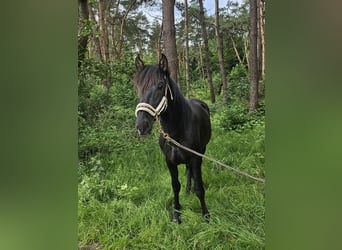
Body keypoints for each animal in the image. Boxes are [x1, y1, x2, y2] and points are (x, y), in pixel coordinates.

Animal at [134, 54, 211, 223]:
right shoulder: (169, 161)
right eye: (137, 86)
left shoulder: (195, 157)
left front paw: (206, 216)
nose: (142, 126)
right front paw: (176, 214)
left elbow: (199, 188)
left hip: (202, 151)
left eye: (160, 85)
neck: (176, 130)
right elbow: (175, 186)